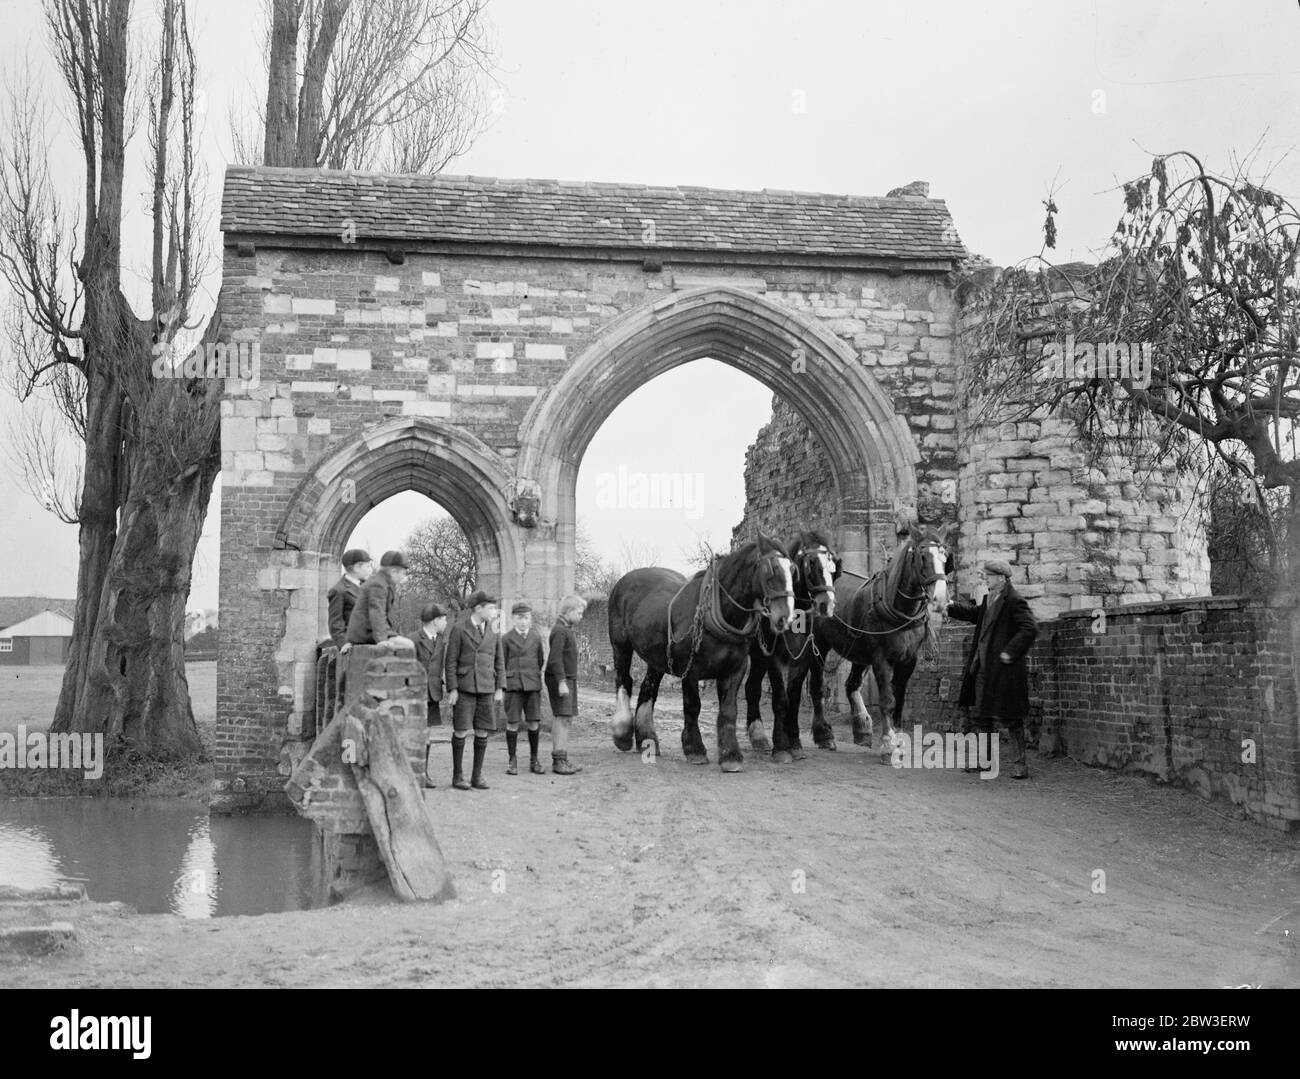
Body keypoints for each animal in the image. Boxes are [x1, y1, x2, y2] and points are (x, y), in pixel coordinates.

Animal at [605, 540, 790, 780]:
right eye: (770, 571)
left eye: (793, 570)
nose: (784, 618)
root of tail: (623, 582)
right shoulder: (690, 668)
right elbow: (693, 706)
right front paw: (694, 749)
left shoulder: (735, 669)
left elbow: (728, 710)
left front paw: (731, 756)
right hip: (621, 646)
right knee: (623, 680)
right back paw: (623, 733)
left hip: (657, 657)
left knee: (648, 689)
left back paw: (647, 739)